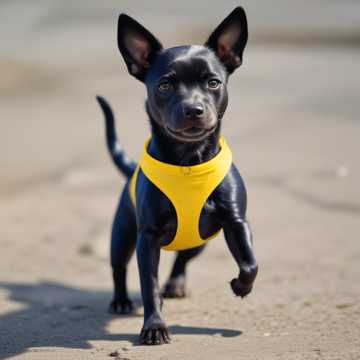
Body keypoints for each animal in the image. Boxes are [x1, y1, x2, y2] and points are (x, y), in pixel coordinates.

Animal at [97, 7, 258, 346]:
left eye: (213, 82)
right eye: (165, 86)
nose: (193, 109)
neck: (188, 159)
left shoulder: (236, 222)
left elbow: (250, 263)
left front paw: (241, 285)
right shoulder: (146, 239)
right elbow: (148, 285)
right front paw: (154, 326)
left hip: (200, 240)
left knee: (182, 258)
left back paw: (176, 284)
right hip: (122, 234)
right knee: (119, 267)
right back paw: (121, 300)